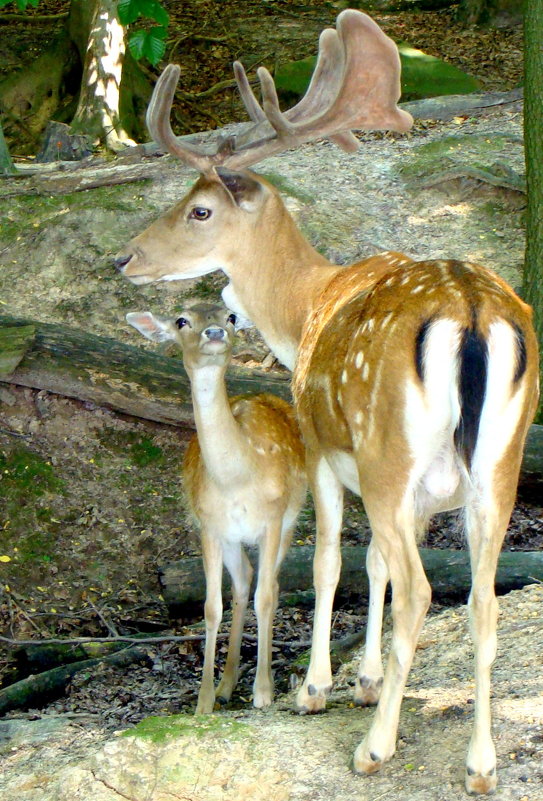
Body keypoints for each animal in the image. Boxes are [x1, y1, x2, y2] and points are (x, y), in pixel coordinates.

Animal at [115, 7, 540, 792]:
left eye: (199, 210)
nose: (125, 257)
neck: (306, 307)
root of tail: (471, 310)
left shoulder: (320, 450)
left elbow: (330, 566)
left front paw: (315, 686)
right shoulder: (417, 493)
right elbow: (373, 565)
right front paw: (366, 679)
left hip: (387, 449)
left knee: (421, 594)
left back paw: (374, 748)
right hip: (499, 461)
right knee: (481, 599)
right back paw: (480, 762)